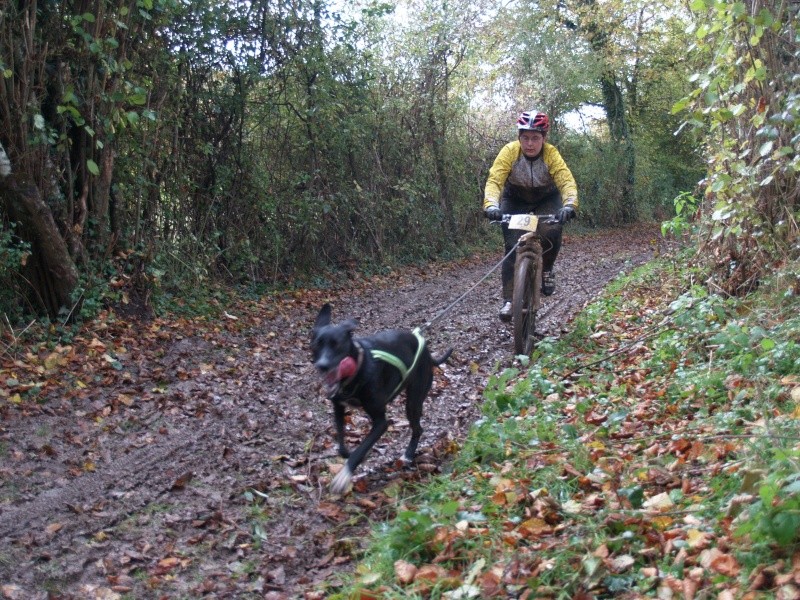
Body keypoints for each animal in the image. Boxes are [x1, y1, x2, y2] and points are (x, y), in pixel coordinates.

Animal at [310, 302, 454, 494]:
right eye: (316, 345)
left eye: (337, 345)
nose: (322, 366)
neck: (357, 369)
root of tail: (427, 353)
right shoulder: (338, 407)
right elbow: (341, 445)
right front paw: (347, 453)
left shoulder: (380, 423)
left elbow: (360, 449)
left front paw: (344, 476)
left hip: (413, 402)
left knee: (418, 428)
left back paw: (409, 454)